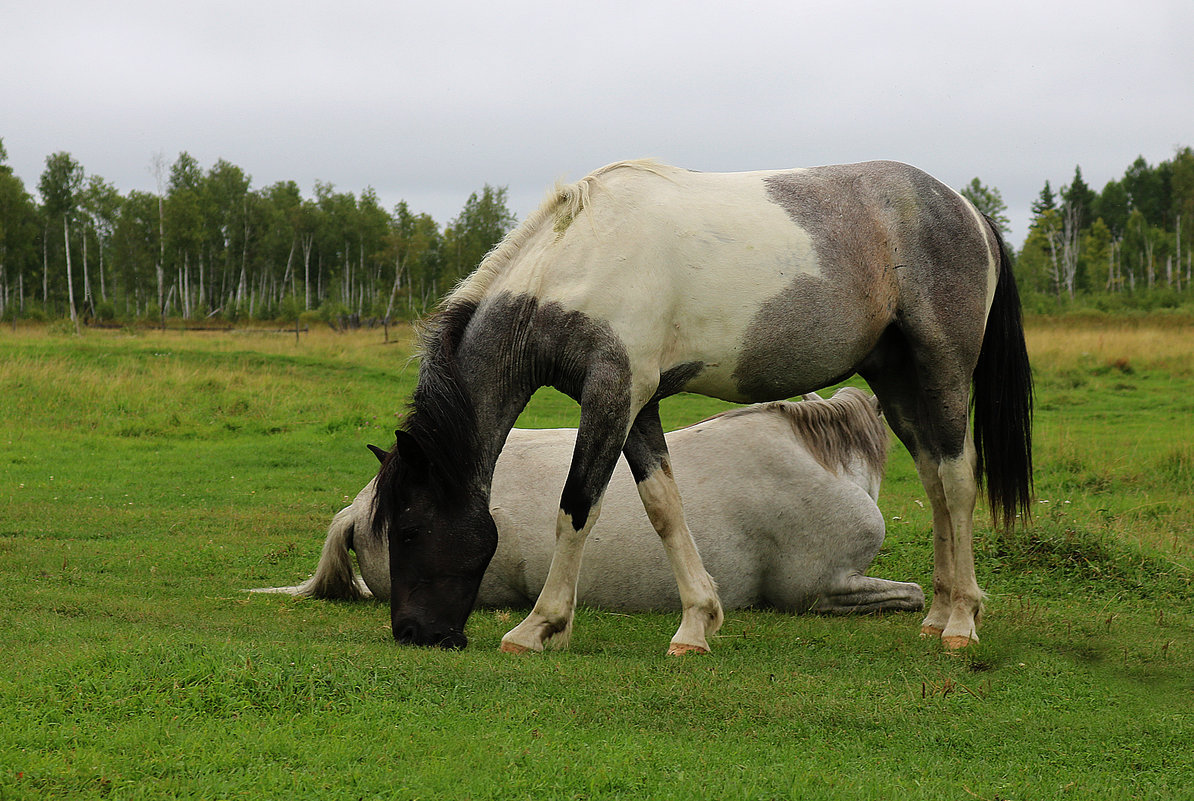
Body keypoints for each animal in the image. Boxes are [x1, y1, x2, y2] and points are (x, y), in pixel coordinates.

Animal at [374, 159, 1036, 654]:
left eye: (407, 529)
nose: (412, 632)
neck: (579, 258)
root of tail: (966, 209)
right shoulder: (636, 406)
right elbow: (663, 506)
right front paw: (697, 623)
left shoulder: (611, 394)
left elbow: (577, 506)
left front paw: (539, 626)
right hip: (899, 381)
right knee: (934, 481)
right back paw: (939, 613)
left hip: (944, 369)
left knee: (958, 480)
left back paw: (960, 623)